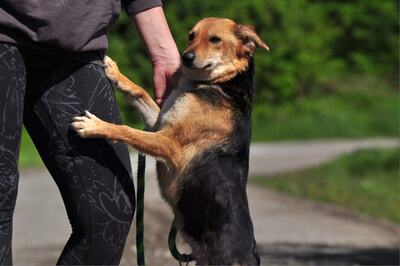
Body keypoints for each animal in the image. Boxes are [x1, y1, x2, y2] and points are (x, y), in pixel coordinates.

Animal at [72, 17, 268, 264]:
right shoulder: (159, 124)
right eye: (191, 36)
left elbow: (127, 131)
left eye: (215, 39)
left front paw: (95, 126)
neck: (224, 85)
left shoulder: (170, 143)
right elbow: (140, 92)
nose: (185, 58)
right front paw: (116, 74)